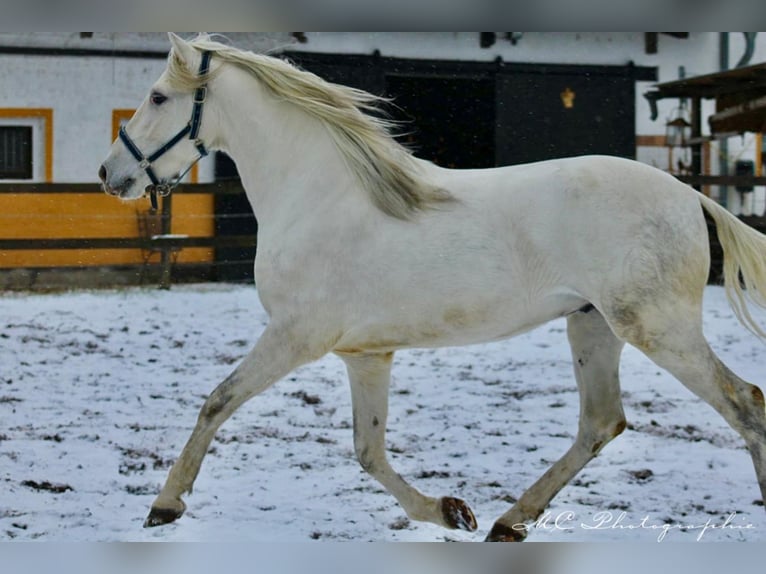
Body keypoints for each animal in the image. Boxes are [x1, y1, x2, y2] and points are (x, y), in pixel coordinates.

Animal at [99, 33, 766, 544]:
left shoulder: (295, 337)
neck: (320, 196)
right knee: (601, 422)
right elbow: (368, 451)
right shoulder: (366, 354)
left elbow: (217, 401)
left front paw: (165, 505)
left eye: (157, 96)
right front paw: (450, 512)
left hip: (656, 327)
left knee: (745, 404)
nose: (110, 174)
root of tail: (688, 194)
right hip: (593, 323)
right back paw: (505, 523)